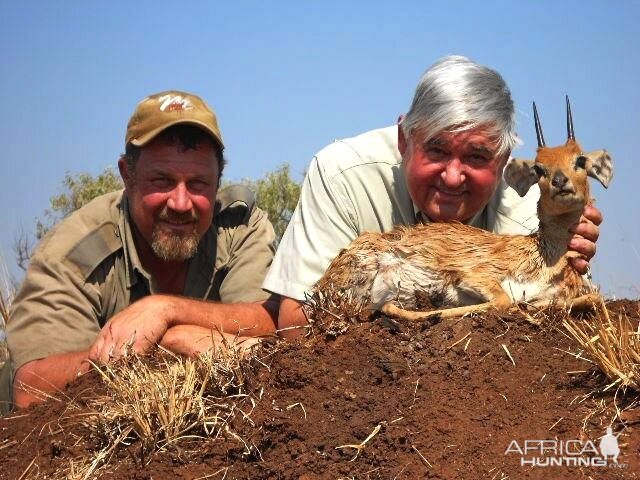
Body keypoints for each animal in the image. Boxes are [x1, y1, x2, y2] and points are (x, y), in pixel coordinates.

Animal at [312, 97, 612, 322]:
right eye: (539, 168)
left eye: (580, 160)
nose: (560, 182)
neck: (545, 258)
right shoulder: (475, 273)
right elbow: (503, 300)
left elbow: (594, 297)